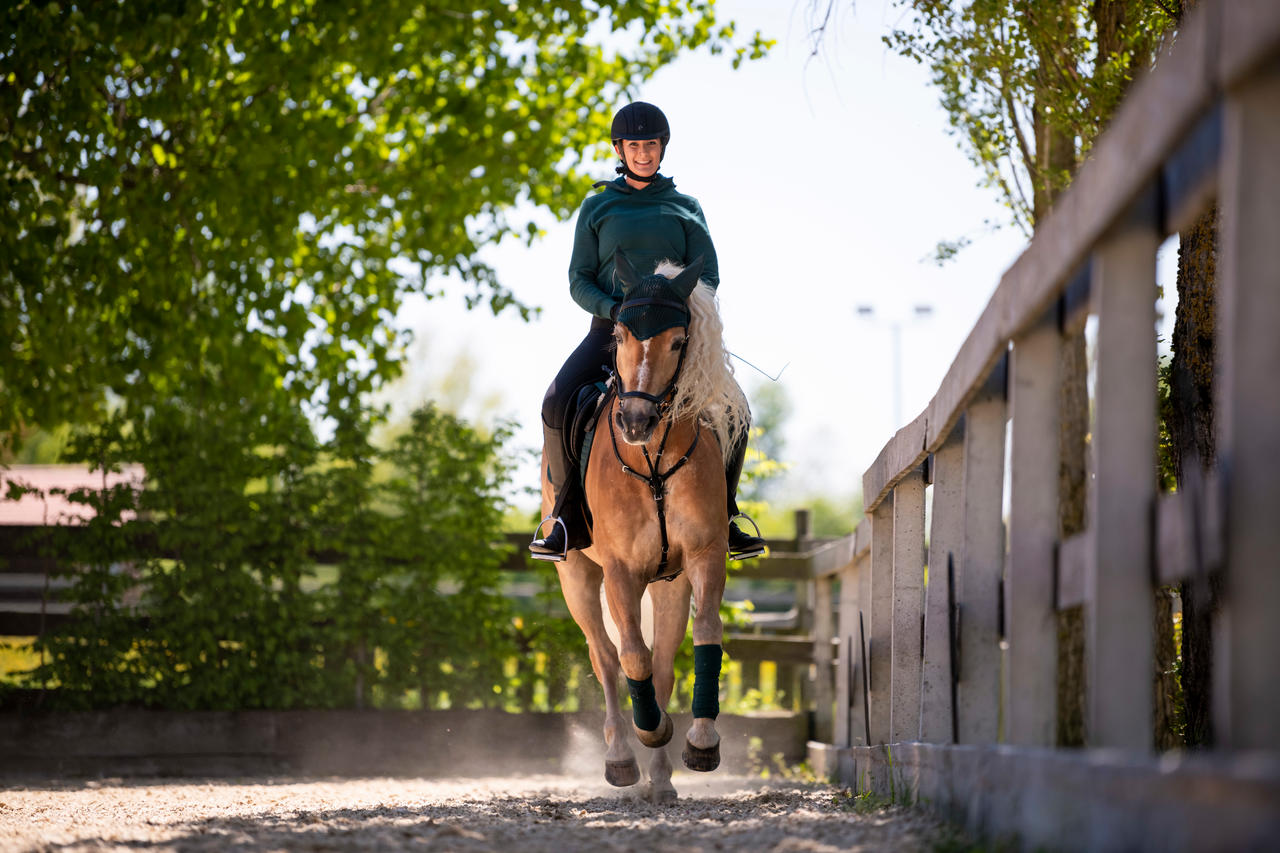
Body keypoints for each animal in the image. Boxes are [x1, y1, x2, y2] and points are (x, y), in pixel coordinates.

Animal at [540, 249, 747, 799]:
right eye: (619, 336)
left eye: (678, 341)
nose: (635, 422)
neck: (652, 460)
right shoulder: (619, 571)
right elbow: (631, 655)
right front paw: (650, 730)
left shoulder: (703, 555)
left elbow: (705, 635)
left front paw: (700, 741)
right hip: (577, 576)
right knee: (605, 657)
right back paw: (622, 757)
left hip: (668, 583)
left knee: (663, 664)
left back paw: (660, 778)